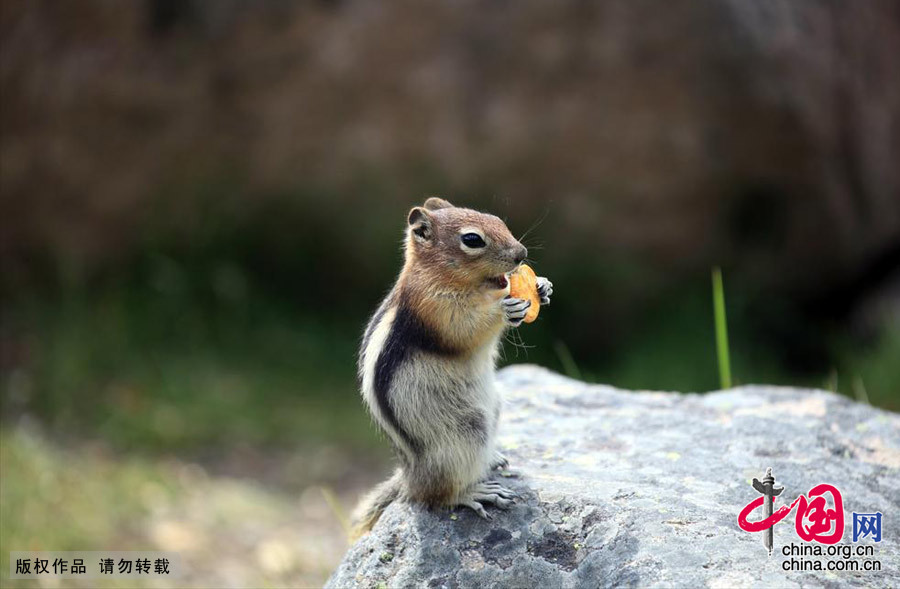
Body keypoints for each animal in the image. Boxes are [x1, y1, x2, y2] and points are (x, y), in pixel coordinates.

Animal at [350, 198, 548, 536]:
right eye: (472, 239)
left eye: (497, 220)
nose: (521, 254)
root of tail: (410, 477)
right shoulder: (434, 307)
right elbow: (463, 329)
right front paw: (503, 309)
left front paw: (543, 286)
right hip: (465, 433)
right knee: (436, 496)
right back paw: (474, 493)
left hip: (493, 407)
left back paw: (491, 461)